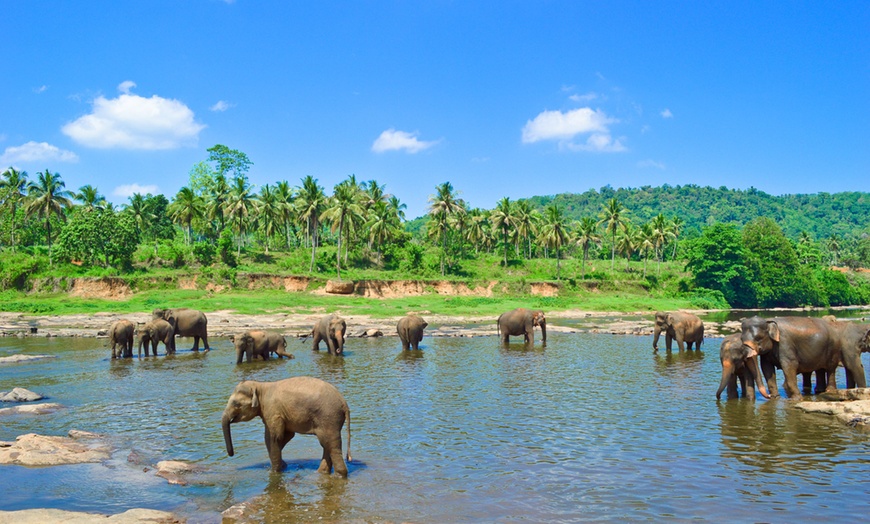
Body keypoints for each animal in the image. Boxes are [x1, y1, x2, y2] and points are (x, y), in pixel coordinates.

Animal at [223, 374, 352, 476]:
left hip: (328, 417)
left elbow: (273, 437)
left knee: (330, 444)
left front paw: (275, 471)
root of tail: (344, 403)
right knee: (327, 444)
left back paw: (339, 475)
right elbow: (287, 435)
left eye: (235, 404)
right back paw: (321, 472)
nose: (231, 454)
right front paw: (283, 465)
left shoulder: (273, 411)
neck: (260, 386)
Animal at [740, 318, 868, 400]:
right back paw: (819, 390)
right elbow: (766, 368)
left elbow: (789, 365)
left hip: (833, 348)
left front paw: (796, 399)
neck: (768, 321)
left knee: (830, 368)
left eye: (758, 338)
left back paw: (829, 391)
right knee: (820, 369)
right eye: (741, 339)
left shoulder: (785, 343)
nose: (768, 396)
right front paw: (775, 398)